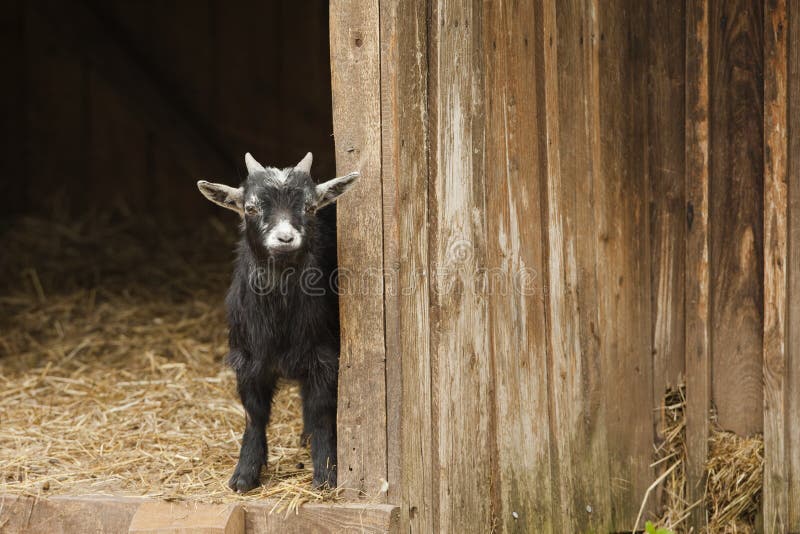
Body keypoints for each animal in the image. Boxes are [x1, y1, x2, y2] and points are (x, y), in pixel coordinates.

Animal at [197, 152, 359, 492]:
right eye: (250, 208)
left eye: (310, 207)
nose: (285, 238)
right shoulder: (247, 360)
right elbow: (254, 414)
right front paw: (244, 475)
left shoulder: (324, 357)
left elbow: (321, 412)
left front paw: (325, 474)